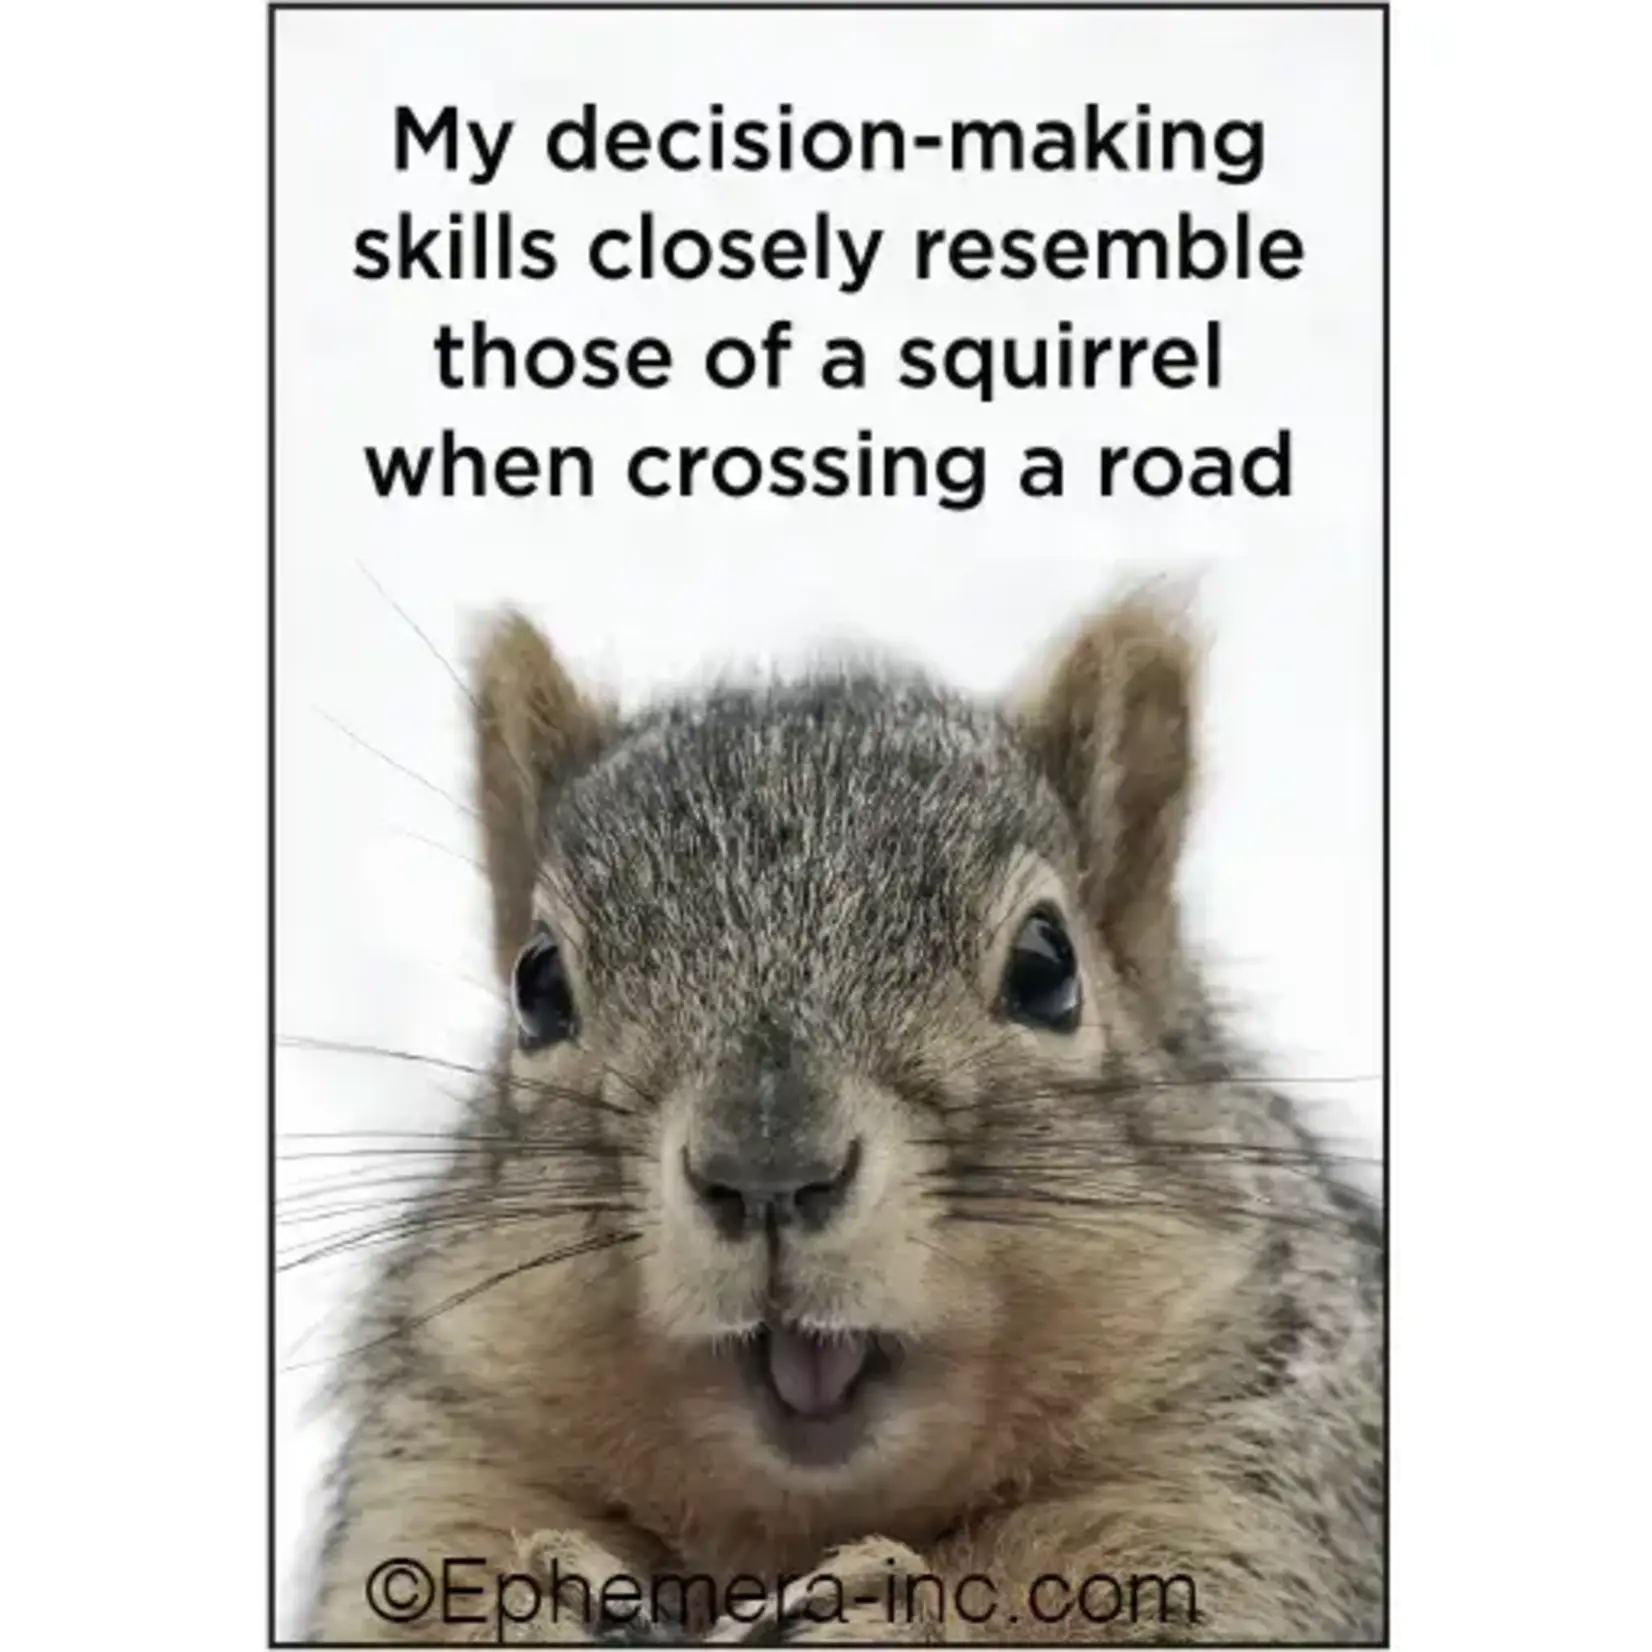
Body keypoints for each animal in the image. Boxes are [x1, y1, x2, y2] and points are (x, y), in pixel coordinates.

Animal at [303, 587, 1384, 1644]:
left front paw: (878, 1610)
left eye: (1047, 966)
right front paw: (546, 1601)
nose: (767, 1169)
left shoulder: (1237, 1490)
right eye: (536, 986)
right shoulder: (446, 1460)